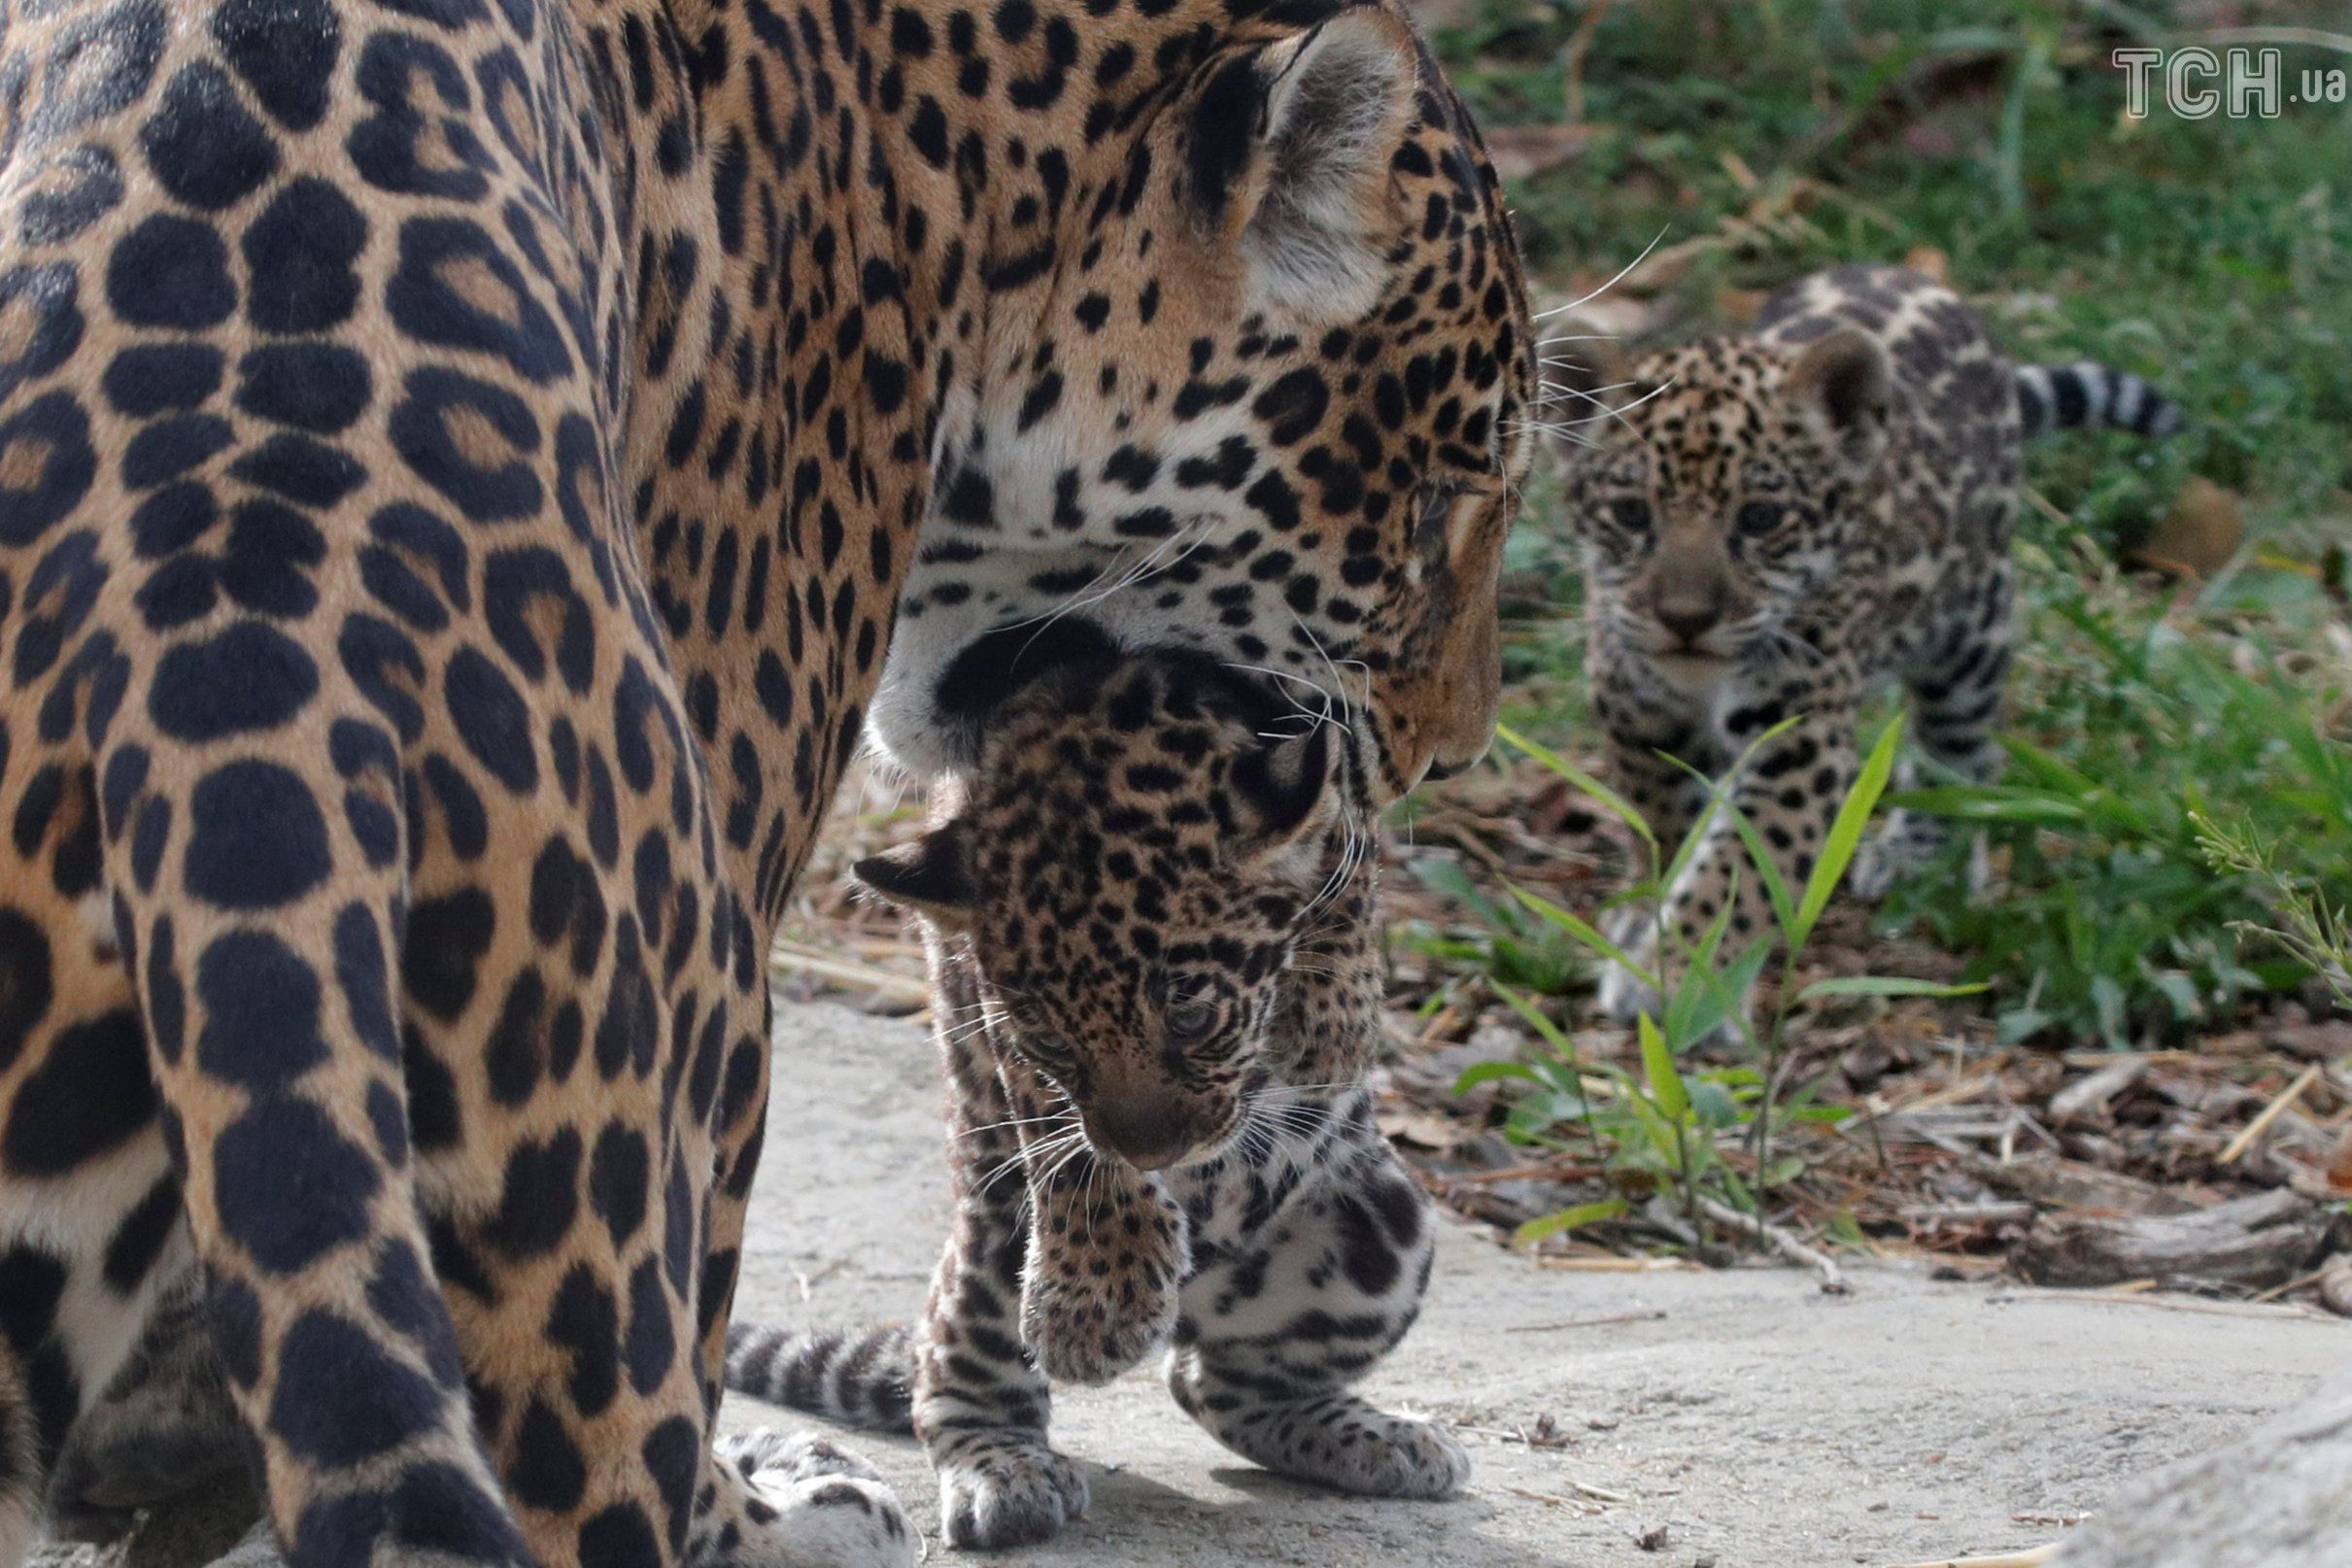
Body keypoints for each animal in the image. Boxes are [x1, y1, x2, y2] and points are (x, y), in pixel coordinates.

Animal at [725, 648, 1463, 1551]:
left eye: (1189, 1013)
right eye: (1051, 1042)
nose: (1157, 1153)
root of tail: (1189, 1308)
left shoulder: (1345, 837)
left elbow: (1344, 930)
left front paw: (1324, 1031)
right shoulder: (997, 1019)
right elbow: (1071, 1144)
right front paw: (1096, 1308)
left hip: (1385, 1225)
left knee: (1216, 1385)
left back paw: (1376, 1439)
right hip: (993, 1244)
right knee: (961, 1378)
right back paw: (1005, 1470)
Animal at [1545, 263, 2177, 1029]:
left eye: (1761, 518)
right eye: (1631, 513)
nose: (1685, 619)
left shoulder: (1796, 738)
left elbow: (1740, 870)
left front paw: (1683, 982)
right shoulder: (1635, 707)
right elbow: (1662, 823)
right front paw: (1646, 919)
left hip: (1970, 631)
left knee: (1960, 749)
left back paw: (1918, 852)